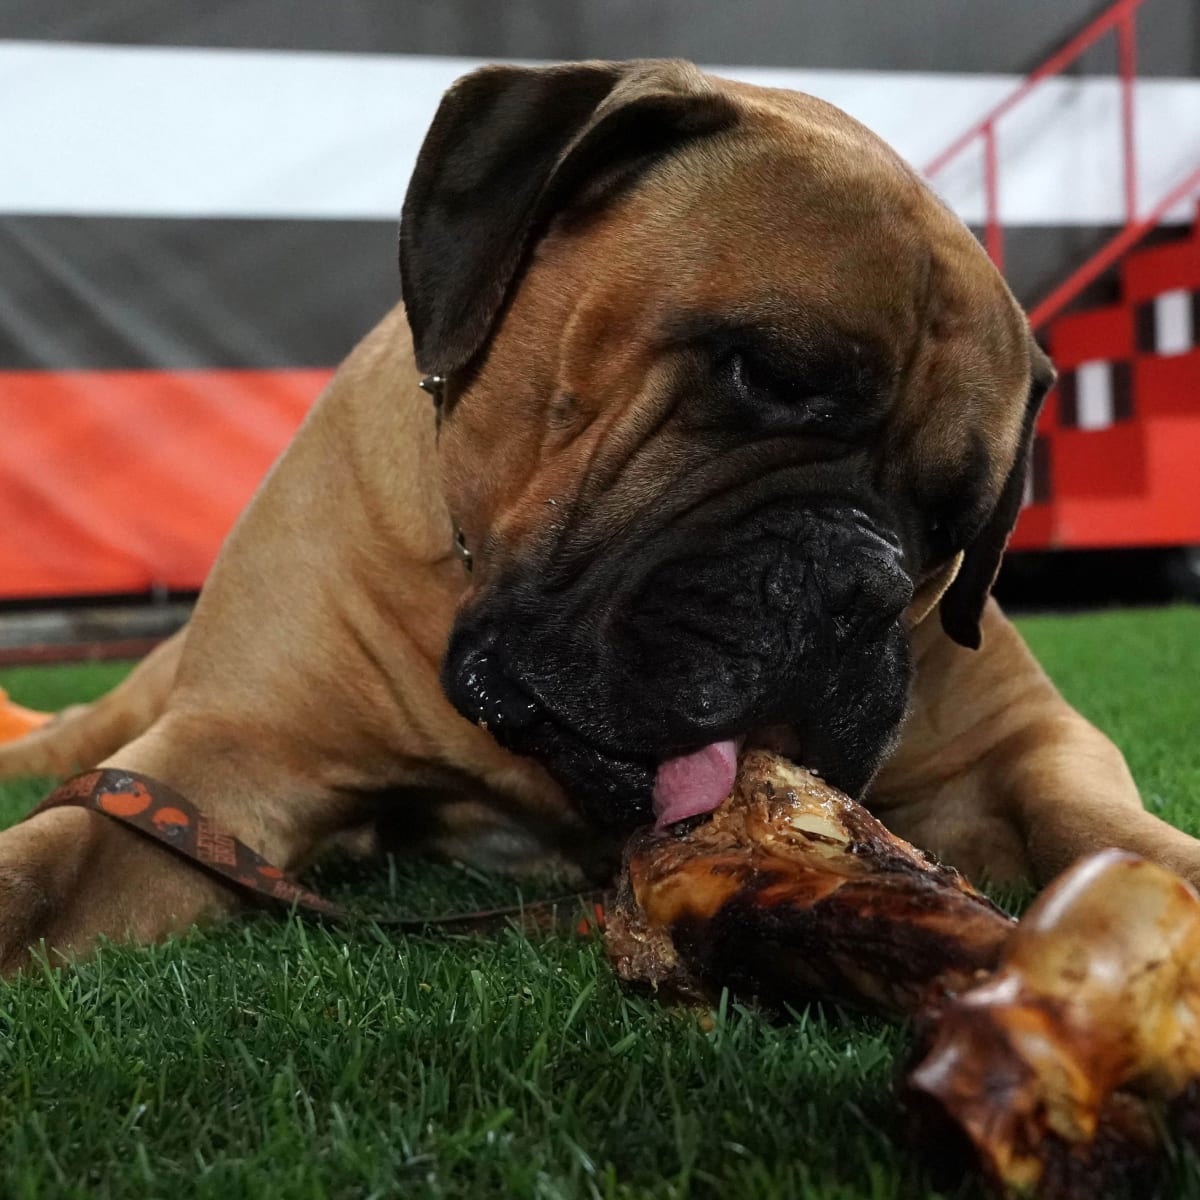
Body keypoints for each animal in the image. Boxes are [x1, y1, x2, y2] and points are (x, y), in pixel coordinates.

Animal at [4, 58, 1195, 974]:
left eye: (957, 523)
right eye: (760, 372)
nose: (860, 588)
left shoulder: (1016, 742)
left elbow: (1102, 825)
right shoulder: (224, 760)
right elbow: (47, 861)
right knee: (82, 730)